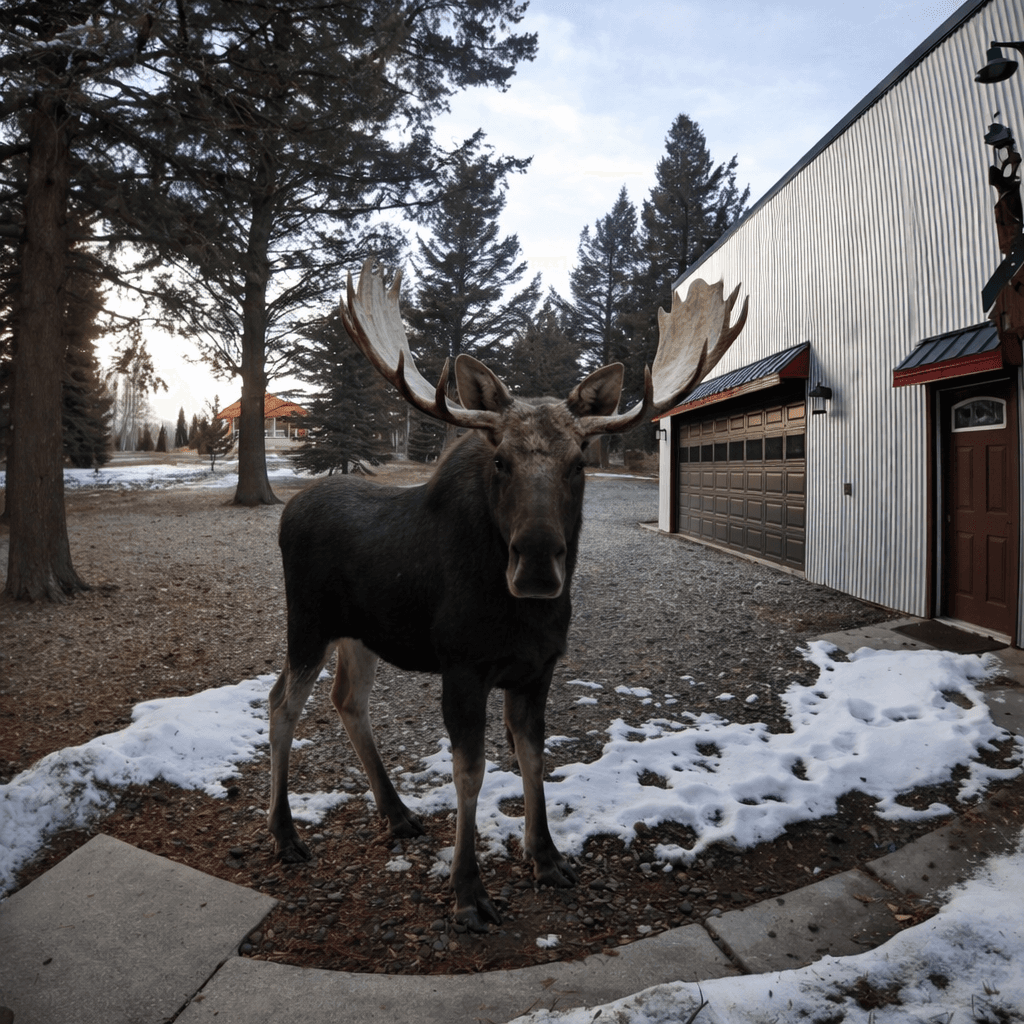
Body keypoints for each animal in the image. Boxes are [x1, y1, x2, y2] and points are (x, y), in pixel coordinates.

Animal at [268, 260, 748, 932]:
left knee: (347, 700)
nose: (538, 566)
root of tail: (288, 512)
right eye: (500, 460)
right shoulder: (462, 667)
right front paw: (468, 892)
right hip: (307, 624)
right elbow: (470, 773)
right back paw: (285, 835)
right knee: (281, 705)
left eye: (579, 462)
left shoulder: (538, 669)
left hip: (359, 633)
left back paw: (397, 813)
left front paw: (546, 858)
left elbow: (532, 758)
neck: (520, 619)